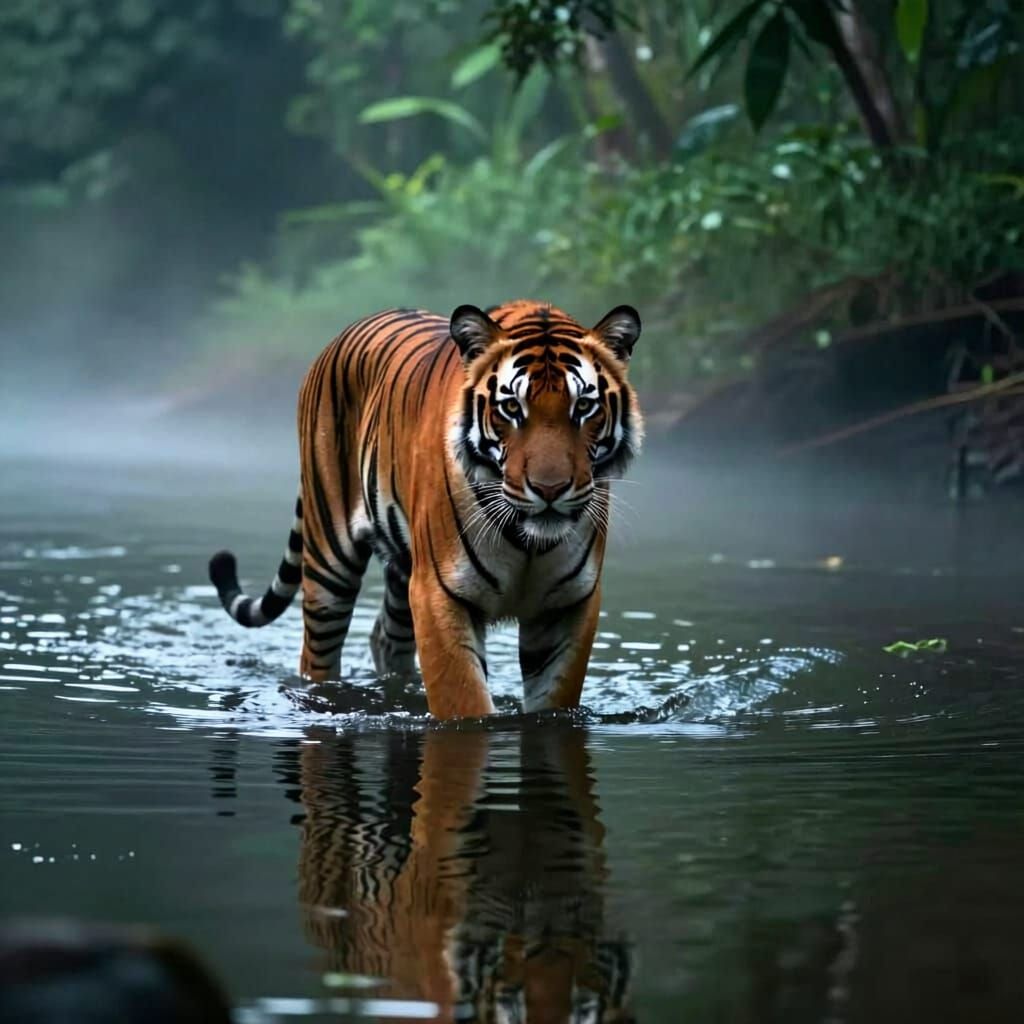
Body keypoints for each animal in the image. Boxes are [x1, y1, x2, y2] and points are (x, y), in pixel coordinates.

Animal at [208, 300, 643, 719]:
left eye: (583, 406)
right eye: (511, 409)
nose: (549, 489)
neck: (528, 541)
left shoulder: (568, 605)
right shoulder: (439, 593)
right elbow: (463, 702)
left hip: (403, 569)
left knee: (386, 637)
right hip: (329, 562)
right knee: (317, 657)